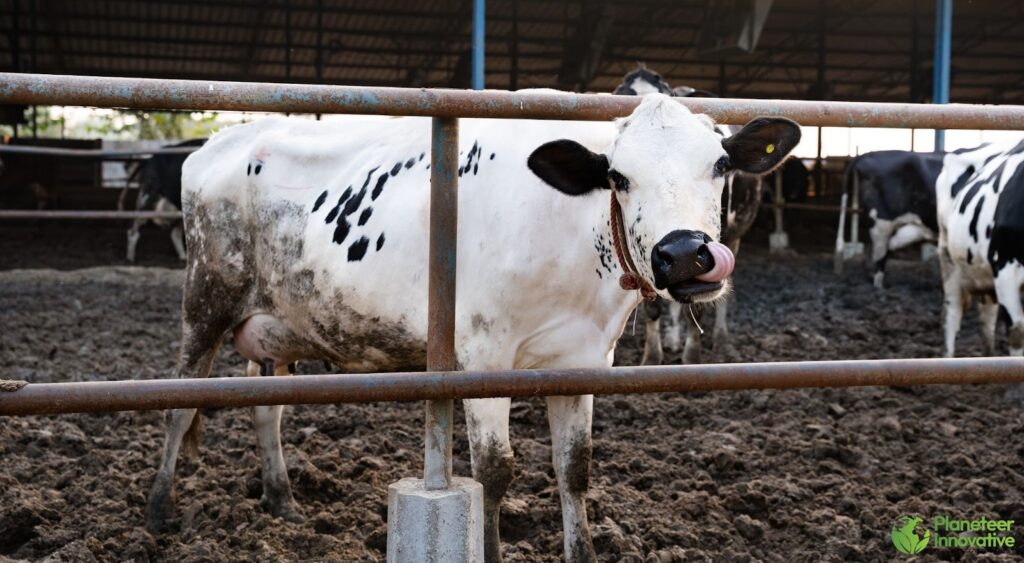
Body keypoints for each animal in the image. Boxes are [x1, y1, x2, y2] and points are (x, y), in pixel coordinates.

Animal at [612, 66, 768, 365]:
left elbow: (697, 306)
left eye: (720, 164)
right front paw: (652, 356)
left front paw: (692, 355)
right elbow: (654, 306)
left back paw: (720, 339)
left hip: (734, 237)